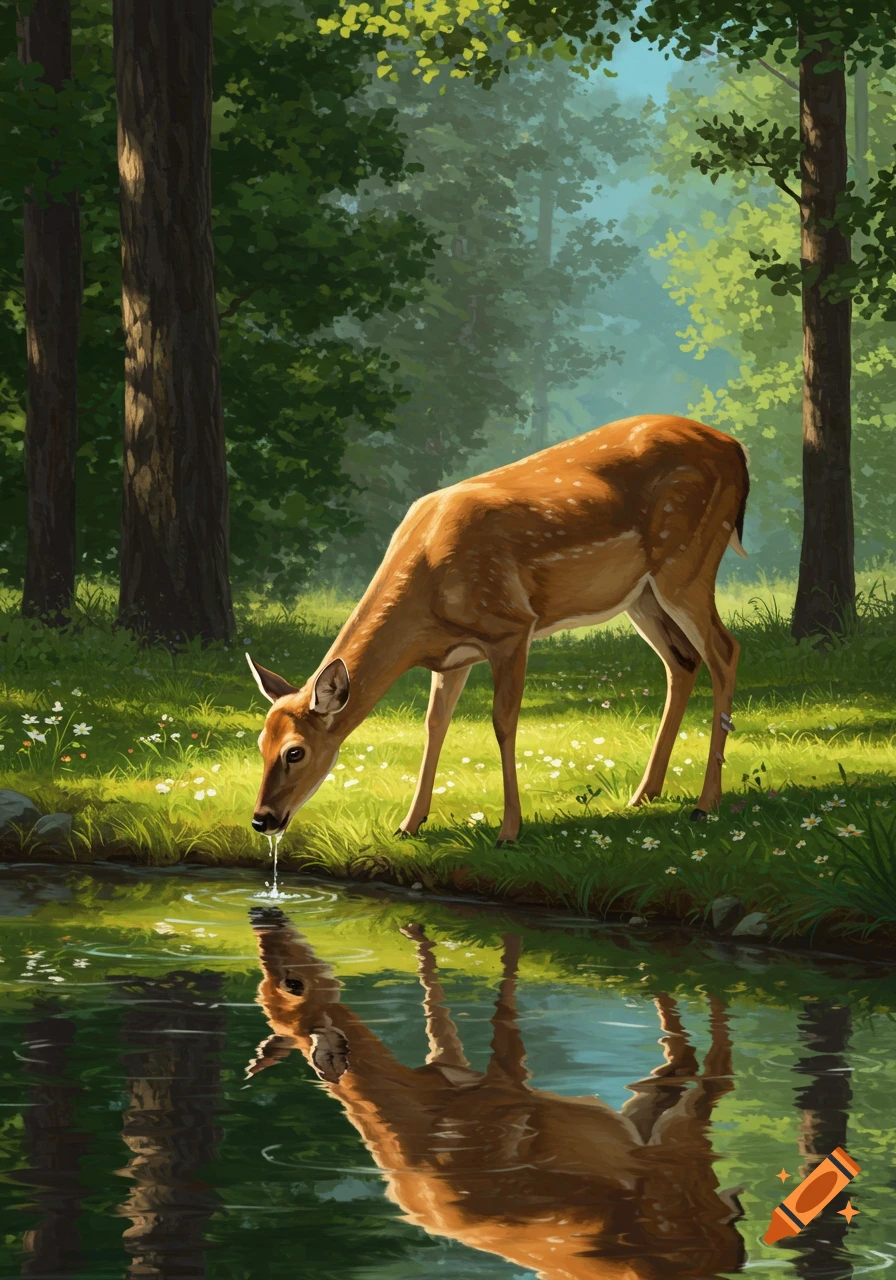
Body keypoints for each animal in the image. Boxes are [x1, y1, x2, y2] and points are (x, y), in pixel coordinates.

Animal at [246, 906, 746, 1280]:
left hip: (672, 1166)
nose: (264, 916)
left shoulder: (499, 1089)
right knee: (690, 1068)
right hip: (663, 1152)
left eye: (290, 983)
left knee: (709, 1072)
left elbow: (494, 1003)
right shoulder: (470, 1076)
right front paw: (417, 929)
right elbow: (443, 1006)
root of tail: (731, 1257)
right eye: (267, 988)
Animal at [247, 414, 749, 844]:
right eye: (259, 743)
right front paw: (409, 824)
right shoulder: (451, 657)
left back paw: (705, 804)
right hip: (641, 595)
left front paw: (509, 830)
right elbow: (435, 725)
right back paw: (644, 794)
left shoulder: (511, 626)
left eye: (295, 751)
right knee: (682, 662)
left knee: (725, 651)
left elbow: (503, 723)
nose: (261, 819)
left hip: (687, 562)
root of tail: (737, 449)